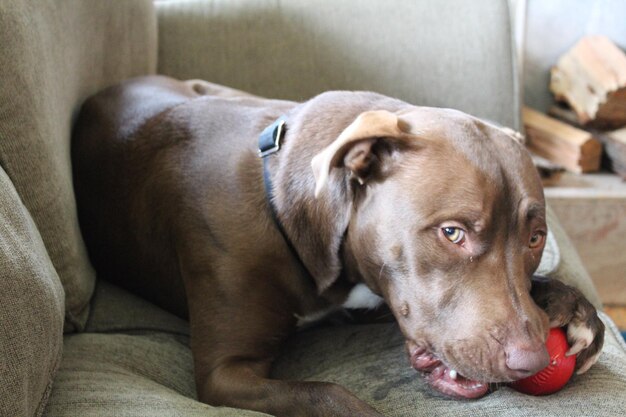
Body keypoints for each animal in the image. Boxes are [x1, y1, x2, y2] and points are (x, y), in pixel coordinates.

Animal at [70, 75, 604, 416]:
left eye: (535, 238)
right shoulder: (225, 374)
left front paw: (572, 308)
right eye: (452, 232)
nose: (532, 361)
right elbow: (323, 393)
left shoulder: (367, 296)